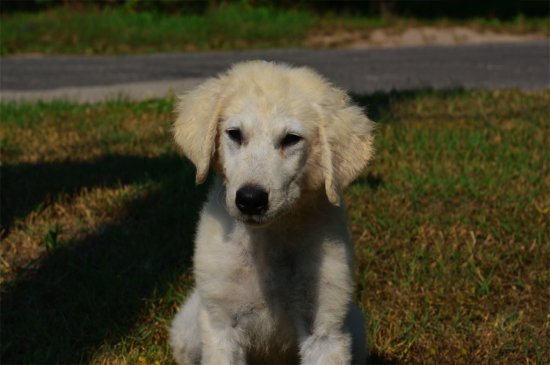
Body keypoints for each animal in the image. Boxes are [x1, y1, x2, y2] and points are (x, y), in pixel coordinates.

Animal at [168, 61, 376, 362]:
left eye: (291, 139)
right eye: (235, 134)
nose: (250, 199)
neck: (268, 237)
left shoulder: (325, 329)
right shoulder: (221, 324)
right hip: (188, 328)